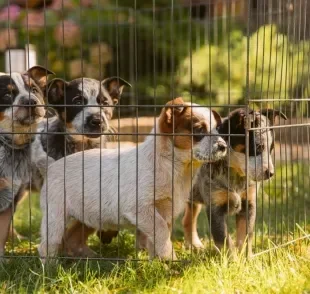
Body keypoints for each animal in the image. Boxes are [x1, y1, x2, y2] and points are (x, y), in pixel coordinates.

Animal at [38, 97, 228, 260]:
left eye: (217, 130)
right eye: (199, 129)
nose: (223, 146)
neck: (172, 167)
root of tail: (51, 167)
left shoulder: (165, 211)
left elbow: (157, 240)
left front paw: (159, 263)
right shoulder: (141, 209)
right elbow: (161, 233)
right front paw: (171, 259)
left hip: (86, 217)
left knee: (72, 238)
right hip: (55, 217)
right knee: (47, 245)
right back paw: (50, 268)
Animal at [182, 107, 288, 255]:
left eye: (271, 149)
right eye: (258, 147)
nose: (271, 173)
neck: (235, 175)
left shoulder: (248, 203)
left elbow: (245, 236)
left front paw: (245, 257)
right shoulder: (215, 207)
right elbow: (224, 240)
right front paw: (232, 259)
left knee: (188, 219)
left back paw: (195, 245)